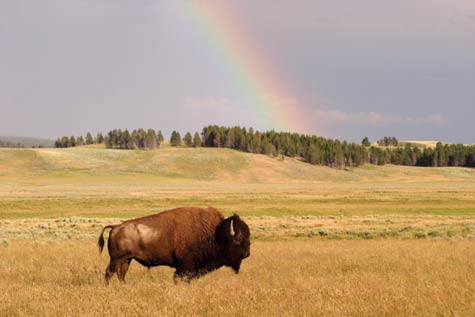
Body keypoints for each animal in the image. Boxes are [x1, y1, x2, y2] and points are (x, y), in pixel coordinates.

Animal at [98, 206, 251, 282]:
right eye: (238, 239)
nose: (247, 253)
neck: (215, 234)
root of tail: (116, 226)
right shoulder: (185, 266)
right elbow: (180, 278)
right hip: (116, 259)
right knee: (109, 273)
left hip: (126, 259)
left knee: (121, 274)